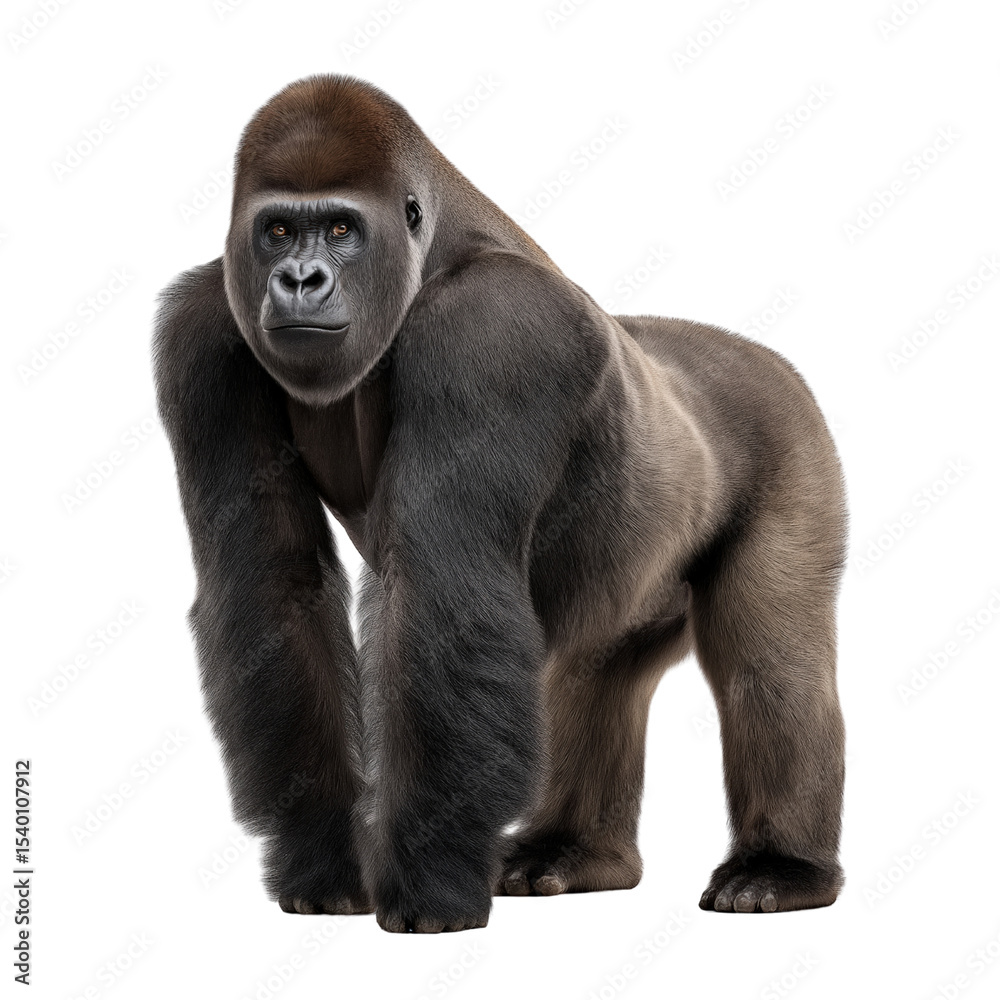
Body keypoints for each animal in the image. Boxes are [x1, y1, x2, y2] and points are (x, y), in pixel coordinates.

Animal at [153, 74, 847, 932]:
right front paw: (321, 855)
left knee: (771, 666)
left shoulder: (495, 330)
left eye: (341, 229)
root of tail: (765, 357)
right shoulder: (204, 331)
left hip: (793, 432)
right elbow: (272, 584)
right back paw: (576, 852)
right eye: (278, 230)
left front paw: (431, 881)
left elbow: (440, 593)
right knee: (593, 674)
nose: (301, 279)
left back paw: (783, 867)